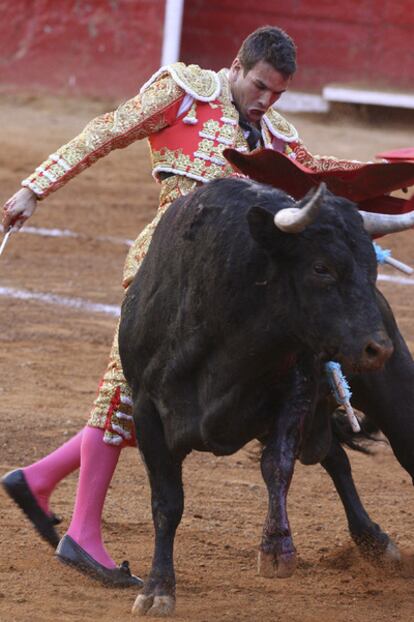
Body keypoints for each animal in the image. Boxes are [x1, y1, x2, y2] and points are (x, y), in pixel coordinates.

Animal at [118, 177, 412, 620]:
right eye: (321, 267)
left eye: (372, 269)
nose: (378, 349)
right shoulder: (146, 410)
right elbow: (167, 502)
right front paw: (157, 589)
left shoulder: (295, 392)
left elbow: (277, 467)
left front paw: (277, 551)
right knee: (335, 458)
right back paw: (373, 541)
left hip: (392, 398)